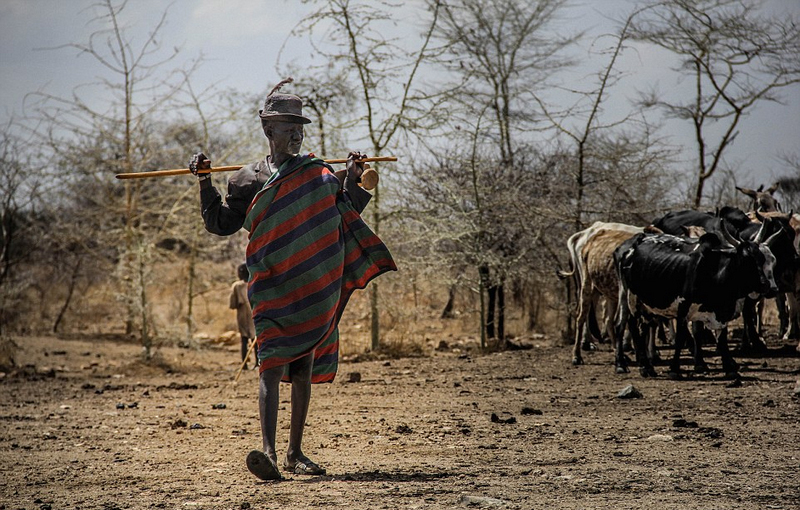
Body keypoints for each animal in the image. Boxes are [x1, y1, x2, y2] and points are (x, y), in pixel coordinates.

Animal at [612, 230, 776, 378]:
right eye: (746, 260)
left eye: (763, 259)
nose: (766, 286)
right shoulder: (683, 308)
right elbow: (681, 338)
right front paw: (675, 369)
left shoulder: (721, 313)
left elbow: (721, 339)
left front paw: (729, 368)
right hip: (631, 298)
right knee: (630, 325)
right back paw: (635, 366)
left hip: (645, 305)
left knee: (643, 327)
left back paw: (646, 366)